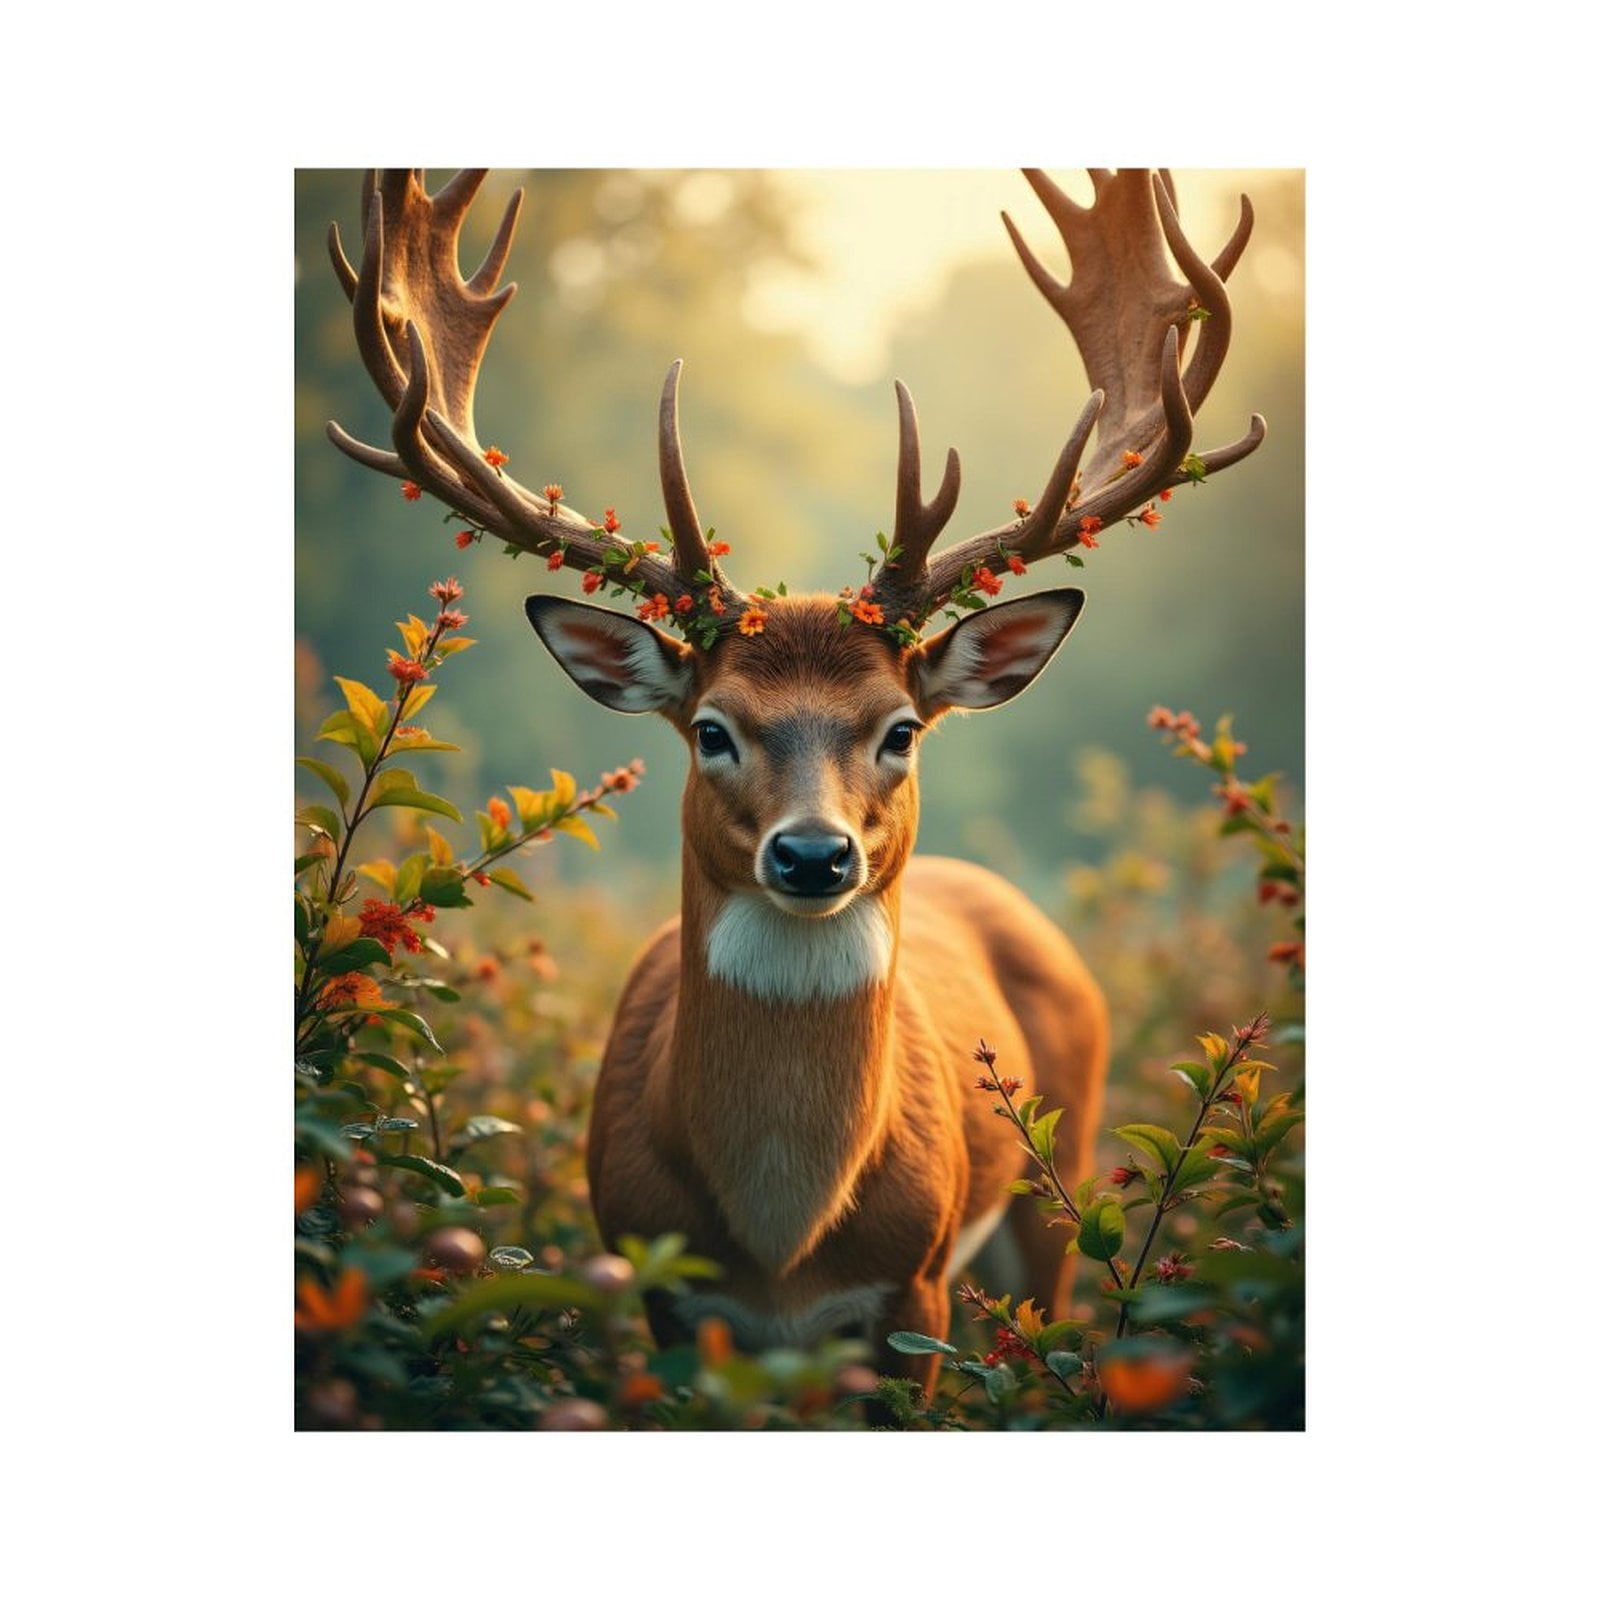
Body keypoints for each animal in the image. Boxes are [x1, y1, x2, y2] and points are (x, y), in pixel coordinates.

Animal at [326, 168, 1265, 1394]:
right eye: (710, 728)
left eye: (902, 728)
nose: (815, 853)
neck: (781, 1244)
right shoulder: (659, 1290)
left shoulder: (913, 1291)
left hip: (1060, 1195)